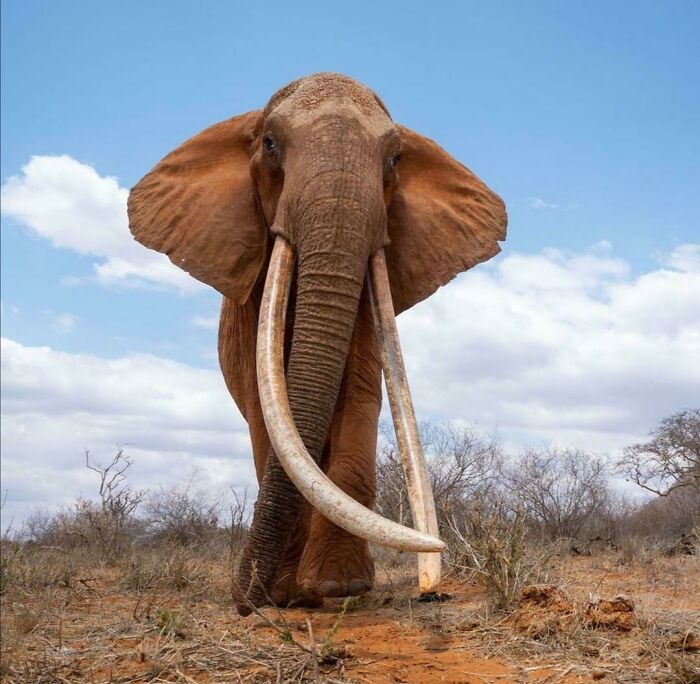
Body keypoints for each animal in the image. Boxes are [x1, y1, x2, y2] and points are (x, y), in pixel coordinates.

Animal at [127, 72, 506, 615]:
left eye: (395, 159)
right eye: (269, 144)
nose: (244, 601)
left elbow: (359, 395)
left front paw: (337, 587)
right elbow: (266, 408)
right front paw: (286, 595)